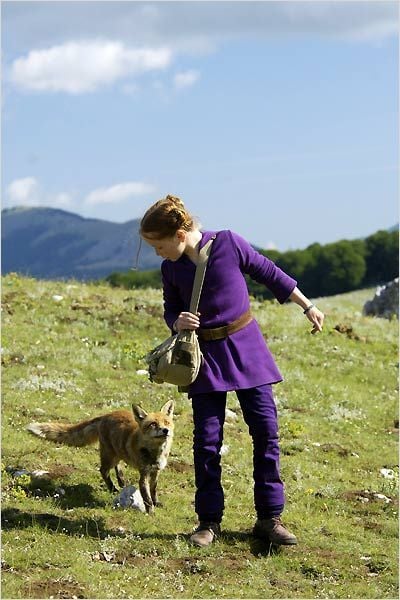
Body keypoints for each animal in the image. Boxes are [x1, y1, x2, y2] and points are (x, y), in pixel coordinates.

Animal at [26, 400, 173, 512]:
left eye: (166, 422)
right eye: (153, 424)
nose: (166, 430)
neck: (155, 454)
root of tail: (106, 414)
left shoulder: (156, 472)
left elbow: (153, 491)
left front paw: (156, 503)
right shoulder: (144, 474)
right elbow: (146, 497)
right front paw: (150, 512)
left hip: (116, 454)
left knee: (117, 466)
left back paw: (121, 481)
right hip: (109, 456)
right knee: (103, 471)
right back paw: (113, 488)